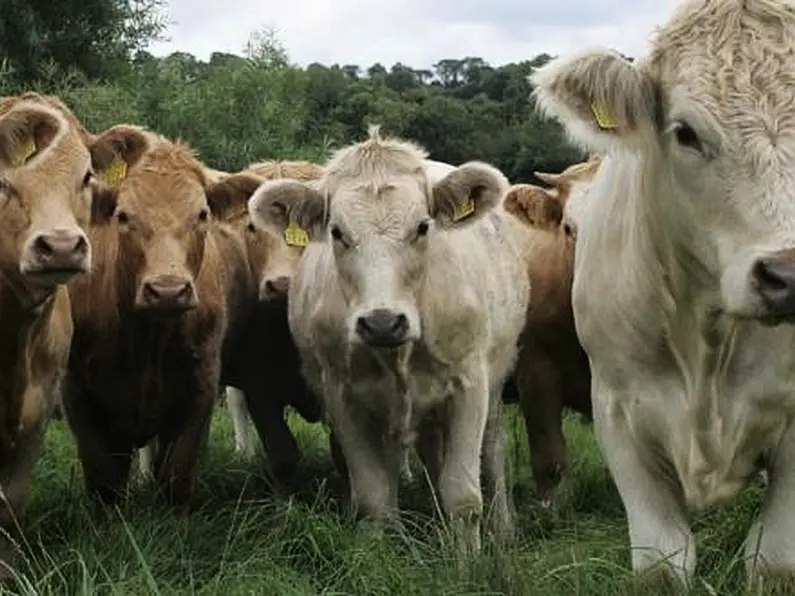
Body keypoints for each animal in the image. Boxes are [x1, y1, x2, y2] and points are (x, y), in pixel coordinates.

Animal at [65, 125, 258, 508]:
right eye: (123, 216)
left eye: (202, 215)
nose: (168, 290)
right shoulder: (77, 390)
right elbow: (103, 478)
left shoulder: (200, 386)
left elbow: (176, 473)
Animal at [247, 125, 528, 556]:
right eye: (337, 232)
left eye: (423, 227)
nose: (382, 323)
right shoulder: (343, 396)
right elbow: (373, 495)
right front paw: (377, 555)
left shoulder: (470, 385)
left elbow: (463, 495)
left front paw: (468, 562)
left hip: (495, 381)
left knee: (493, 452)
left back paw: (504, 528)